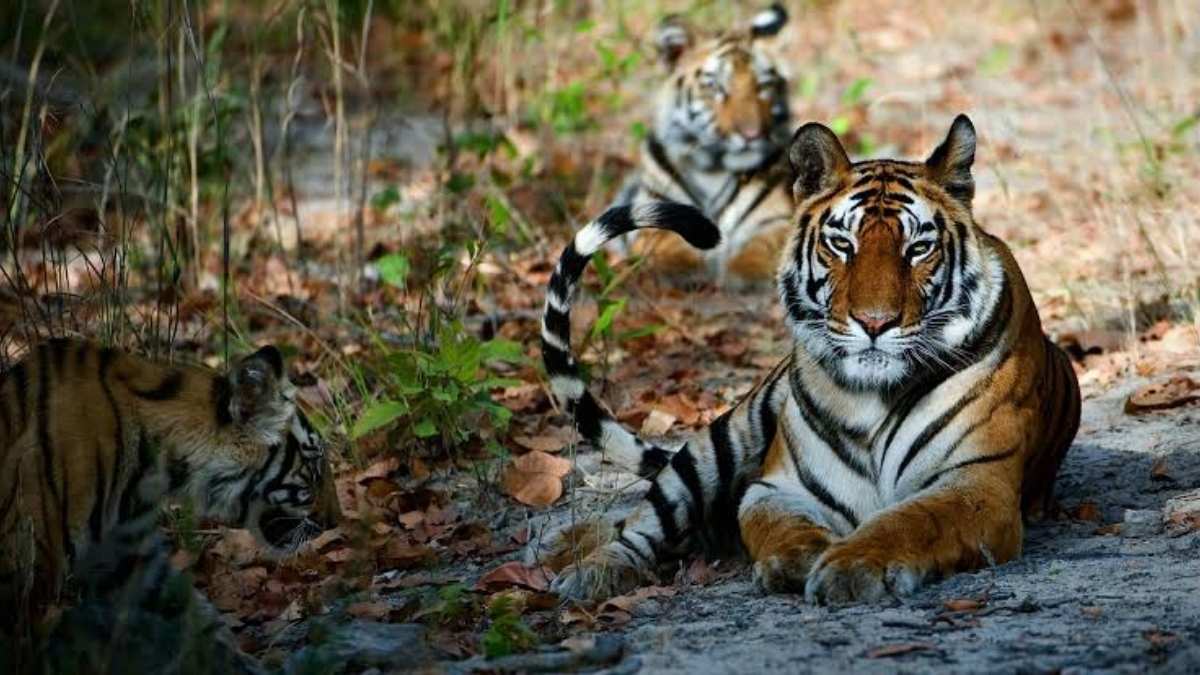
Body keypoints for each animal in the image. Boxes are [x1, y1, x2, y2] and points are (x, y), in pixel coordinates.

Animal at [537, 114, 1081, 604]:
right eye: (842, 244)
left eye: (918, 248)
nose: (875, 323)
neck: (873, 399)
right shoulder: (778, 488)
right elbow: (780, 526)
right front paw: (798, 560)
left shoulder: (976, 483)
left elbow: (907, 521)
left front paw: (851, 567)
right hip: (719, 442)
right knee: (641, 524)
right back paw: (581, 568)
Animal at [613, 3, 795, 287]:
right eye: (716, 87)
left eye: (762, 86)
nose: (752, 134)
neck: (713, 168)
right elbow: (663, 240)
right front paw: (682, 266)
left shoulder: (775, 219)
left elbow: (766, 245)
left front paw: (743, 273)